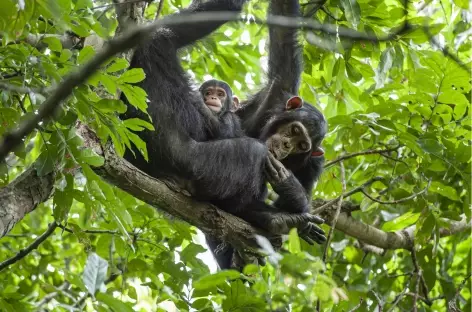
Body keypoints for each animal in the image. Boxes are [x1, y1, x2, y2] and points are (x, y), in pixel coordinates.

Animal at [120, 0, 322, 254]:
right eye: (295, 130)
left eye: (302, 145)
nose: (287, 144)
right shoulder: (279, 90)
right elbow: (283, 34)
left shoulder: (312, 163)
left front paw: (291, 188)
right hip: (197, 162)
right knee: (252, 151)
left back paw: (280, 220)